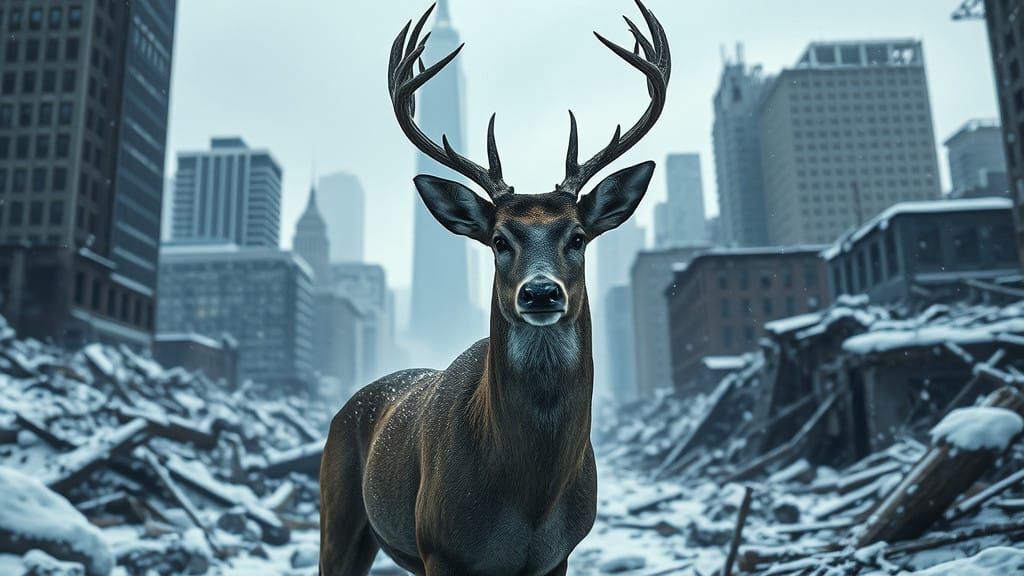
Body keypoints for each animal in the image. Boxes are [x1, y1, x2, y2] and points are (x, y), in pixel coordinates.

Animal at [319, 2, 670, 574]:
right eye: (499, 240)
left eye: (579, 236)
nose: (541, 293)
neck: (529, 492)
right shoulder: (440, 547)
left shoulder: (556, 556)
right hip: (341, 513)